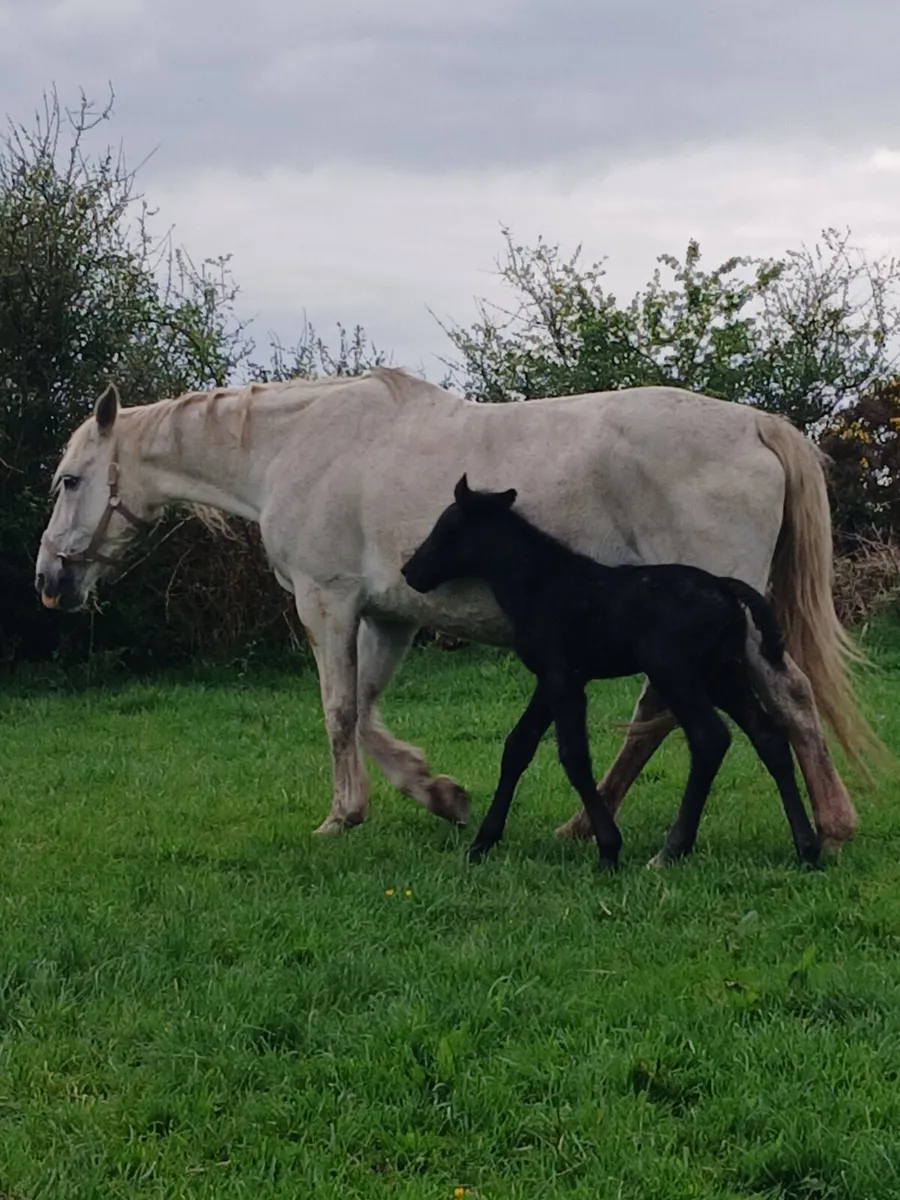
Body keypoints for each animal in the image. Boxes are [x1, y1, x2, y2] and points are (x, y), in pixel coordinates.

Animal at [401, 474, 821, 870]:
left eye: (447, 527)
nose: (409, 571)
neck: (539, 583)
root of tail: (724, 587)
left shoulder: (564, 679)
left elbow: (574, 757)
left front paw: (608, 849)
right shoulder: (552, 680)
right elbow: (518, 746)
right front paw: (482, 843)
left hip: (676, 672)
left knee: (710, 737)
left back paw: (673, 849)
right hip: (724, 673)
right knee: (768, 737)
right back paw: (807, 848)